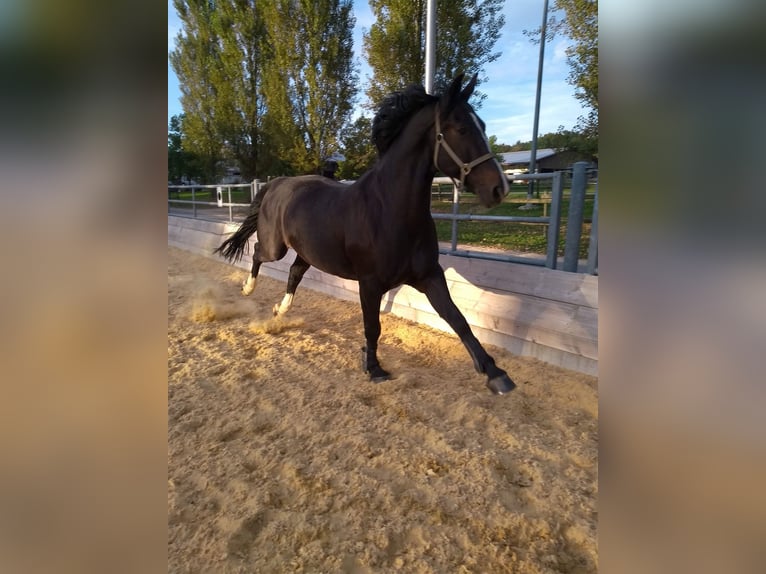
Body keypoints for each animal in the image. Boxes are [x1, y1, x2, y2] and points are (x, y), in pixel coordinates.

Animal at [216, 74, 516, 396]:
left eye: (482, 125)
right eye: (461, 128)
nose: (499, 189)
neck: (388, 211)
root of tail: (278, 183)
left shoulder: (429, 276)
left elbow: (458, 320)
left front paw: (496, 374)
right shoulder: (369, 284)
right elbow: (373, 327)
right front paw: (374, 368)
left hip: (309, 251)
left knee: (294, 272)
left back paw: (280, 310)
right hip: (277, 247)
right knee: (259, 253)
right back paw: (247, 290)